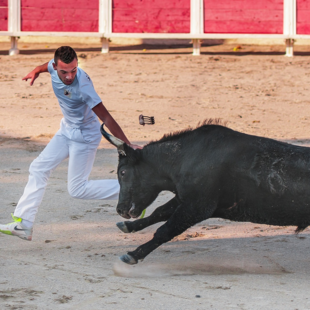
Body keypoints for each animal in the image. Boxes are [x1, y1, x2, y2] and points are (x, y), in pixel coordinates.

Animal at [100, 121, 310, 264]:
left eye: (123, 172)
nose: (120, 210)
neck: (184, 157)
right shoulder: (185, 199)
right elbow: (159, 212)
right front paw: (128, 226)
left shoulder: (198, 207)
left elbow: (165, 230)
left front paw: (133, 254)